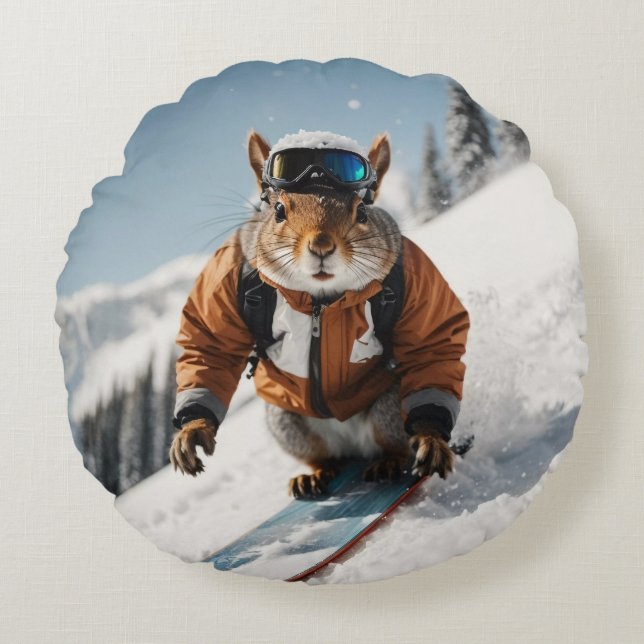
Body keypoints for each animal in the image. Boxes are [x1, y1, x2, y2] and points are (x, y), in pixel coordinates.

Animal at [169, 129, 470, 498]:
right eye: (279, 210)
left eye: (362, 213)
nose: (322, 246)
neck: (319, 301)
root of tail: (352, 443)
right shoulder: (227, 270)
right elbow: (211, 344)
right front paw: (193, 430)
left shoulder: (413, 271)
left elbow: (433, 341)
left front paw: (430, 438)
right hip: (289, 425)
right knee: (325, 457)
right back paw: (313, 476)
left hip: (389, 408)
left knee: (393, 443)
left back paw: (389, 462)